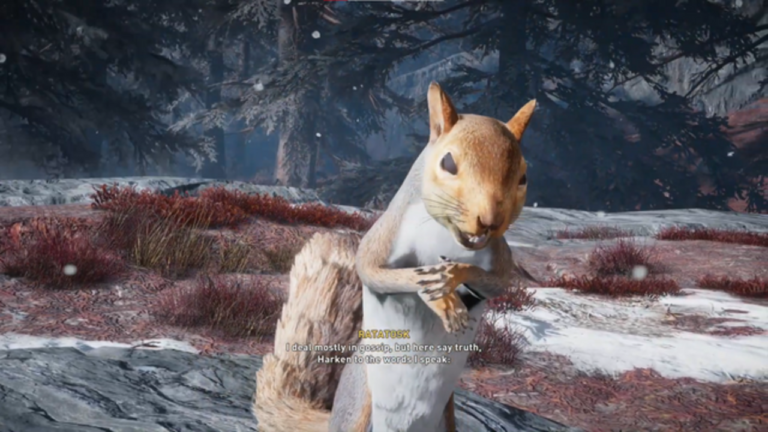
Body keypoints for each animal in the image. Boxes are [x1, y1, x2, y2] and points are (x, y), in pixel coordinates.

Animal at [253, 82, 536, 432]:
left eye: (523, 177)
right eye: (449, 163)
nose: (490, 220)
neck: (445, 233)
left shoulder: (498, 254)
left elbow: (498, 283)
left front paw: (453, 276)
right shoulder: (385, 235)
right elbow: (371, 270)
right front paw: (438, 298)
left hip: (446, 416)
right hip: (362, 403)